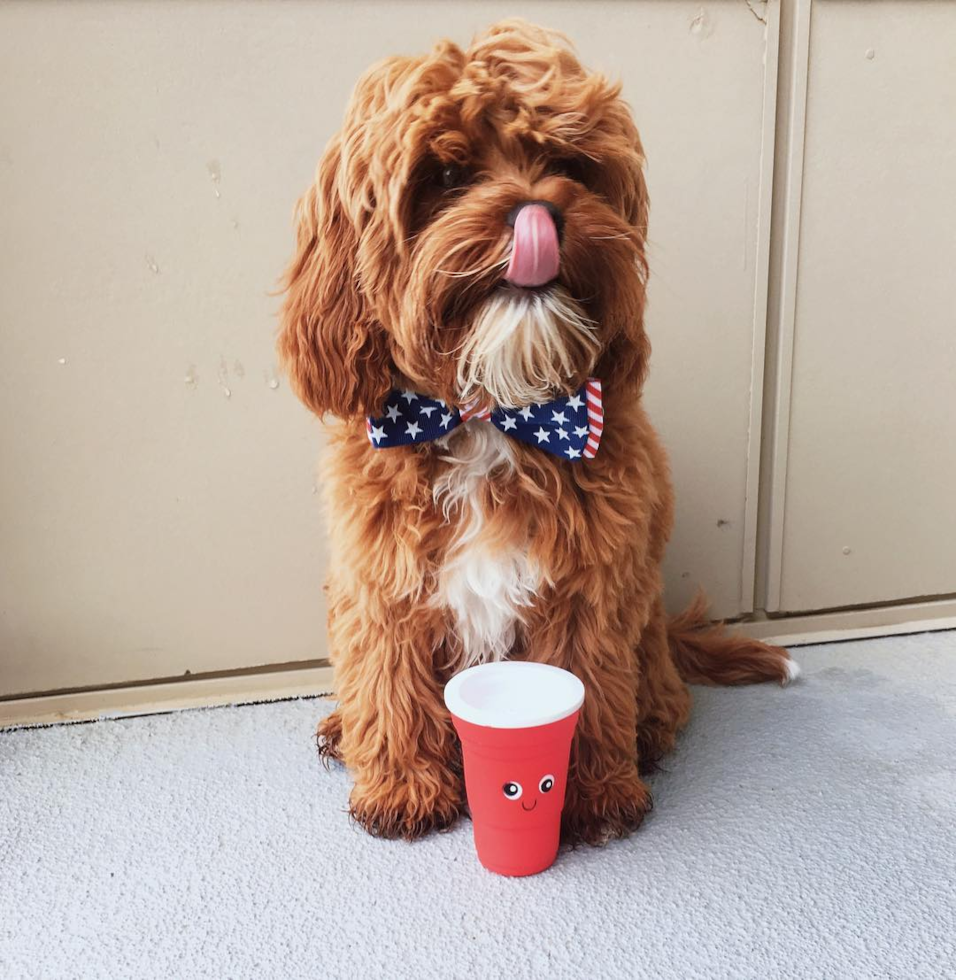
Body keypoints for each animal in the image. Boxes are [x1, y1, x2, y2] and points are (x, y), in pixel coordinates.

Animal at [278, 19, 800, 848]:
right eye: (446, 173)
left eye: (568, 166)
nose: (539, 214)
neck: (492, 409)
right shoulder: (380, 579)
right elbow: (388, 678)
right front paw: (403, 785)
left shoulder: (592, 586)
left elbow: (586, 683)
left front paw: (592, 795)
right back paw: (343, 729)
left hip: (645, 623)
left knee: (661, 697)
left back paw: (649, 733)